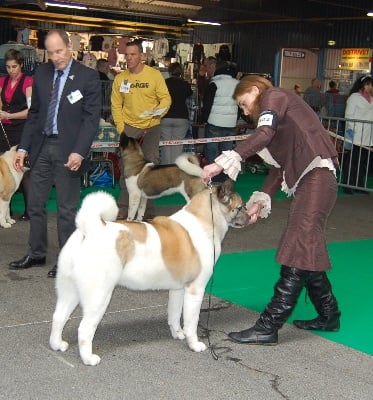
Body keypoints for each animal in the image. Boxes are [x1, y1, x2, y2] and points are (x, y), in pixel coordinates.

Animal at [49, 180, 247, 366]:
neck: (204, 220)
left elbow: (174, 314)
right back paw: (89, 359)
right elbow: (191, 322)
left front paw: (178, 333)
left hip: (68, 290)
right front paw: (194, 344)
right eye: (240, 207)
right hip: (99, 296)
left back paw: (57, 345)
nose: (250, 216)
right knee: (84, 328)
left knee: (59, 316)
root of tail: (91, 228)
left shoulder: (178, 290)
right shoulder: (195, 290)